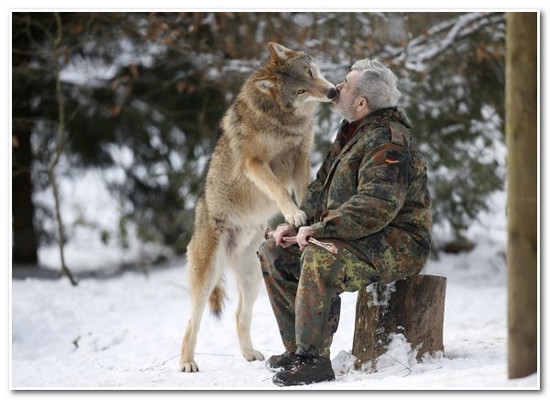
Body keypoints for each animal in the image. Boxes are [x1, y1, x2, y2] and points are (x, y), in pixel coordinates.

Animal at [180, 43, 336, 372]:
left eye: (311, 73)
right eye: (301, 90)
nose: (331, 92)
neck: (283, 120)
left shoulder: (301, 159)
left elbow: (304, 190)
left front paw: (305, 218)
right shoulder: (255, 163)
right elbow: (279, 190)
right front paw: (294, 214)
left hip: (253, 280)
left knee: (240, 315)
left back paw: (250, 354)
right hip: (207, 278)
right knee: (192, 322)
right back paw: (186, 363)